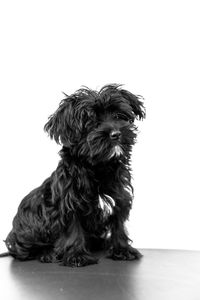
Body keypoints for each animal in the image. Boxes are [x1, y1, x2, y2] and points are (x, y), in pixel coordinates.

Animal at [1, 84, 145, 268]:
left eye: (118, 116)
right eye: (91, 121)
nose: (116, 133)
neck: (98, 167)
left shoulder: (119, 198)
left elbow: (118, 226)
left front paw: (122, 249)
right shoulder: (69, 203)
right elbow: (73, 229)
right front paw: (77, 255)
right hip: (30, 225)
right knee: (25, 250)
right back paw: (47, 253)